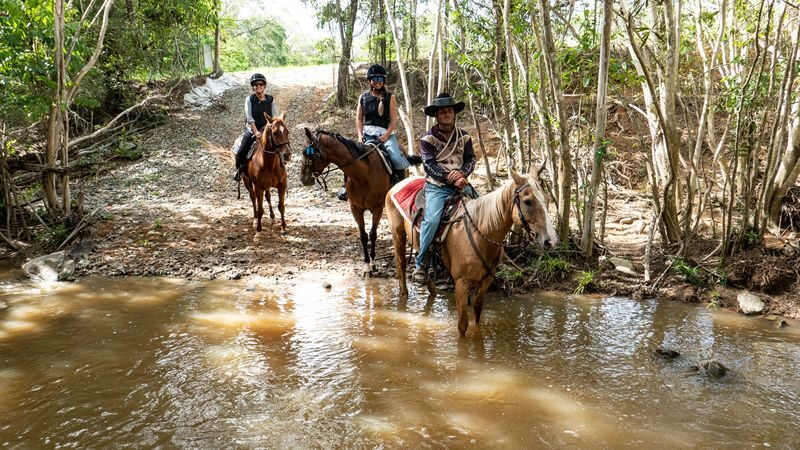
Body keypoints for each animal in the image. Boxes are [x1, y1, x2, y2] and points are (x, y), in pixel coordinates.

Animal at [300, 127, 420, 276]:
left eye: (310, 154)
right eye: (303, 152)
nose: (303, 178)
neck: (363, 176)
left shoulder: (377, 208)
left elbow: (373, 234)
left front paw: (373, 264)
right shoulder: (355, 208)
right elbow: (363, 236)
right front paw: (367, 265)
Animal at [385, 169, 558, 336]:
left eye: (547, 199)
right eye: (527, 201)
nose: (551, 241)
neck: (481, 231)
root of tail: (399, 184)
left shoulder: (486, 280)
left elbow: (478, 310)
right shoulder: (461, 283)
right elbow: (462, 324)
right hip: (398, 234)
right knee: (401, 264)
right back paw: (404, 295)